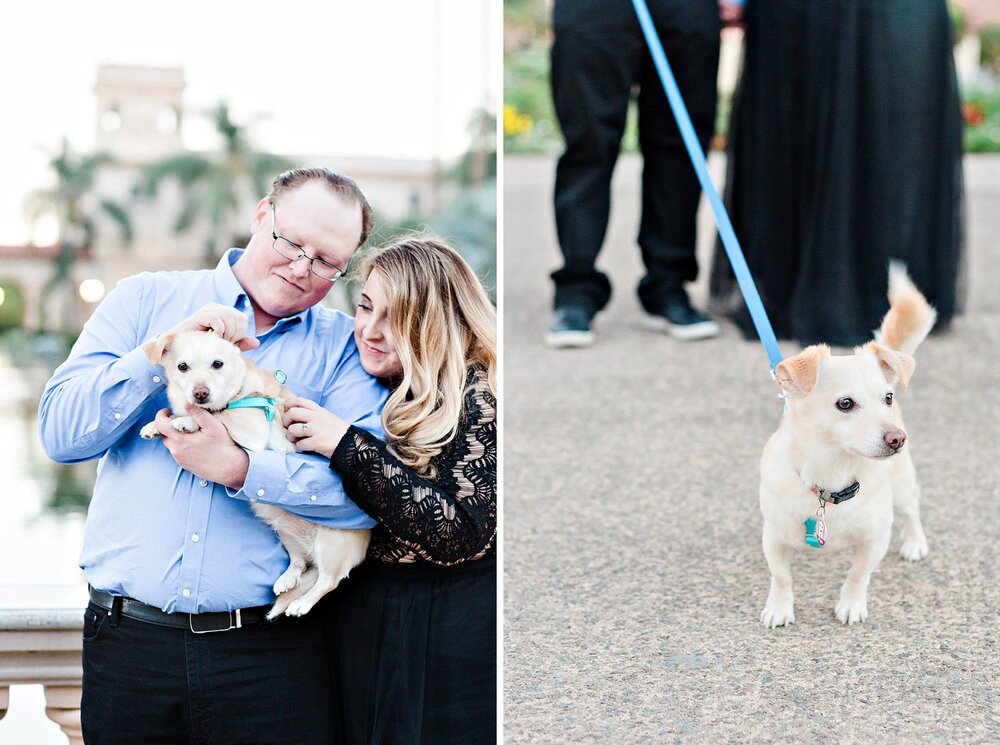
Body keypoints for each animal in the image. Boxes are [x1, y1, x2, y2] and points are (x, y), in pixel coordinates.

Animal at [140, 330, 372, 616]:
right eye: (182, 367)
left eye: (218, 364)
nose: (200, 393)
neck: (237, 392)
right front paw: (156, 425)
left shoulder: (250, 428)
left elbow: (218, 416)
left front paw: (187, 421)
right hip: (284, 530)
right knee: (300, 561)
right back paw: (288, 579)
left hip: (331, 543)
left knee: (328, 580)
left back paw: (302, 603)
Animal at [760, 264, 932, 624]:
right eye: (845, 404)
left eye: (887, 398)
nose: (897, 438)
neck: (832, 475)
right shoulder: (774, 538)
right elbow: (781, 577)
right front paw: (779, 608)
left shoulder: (875, 539)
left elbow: (858, 574)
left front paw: (851, 604)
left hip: (902, 484)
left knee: (912, 507)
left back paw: (915, 542)